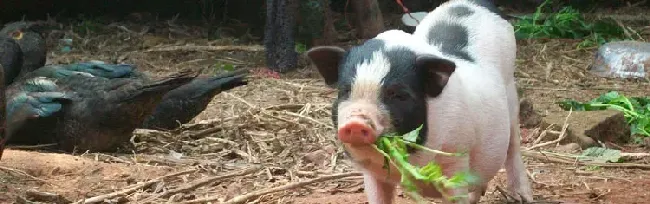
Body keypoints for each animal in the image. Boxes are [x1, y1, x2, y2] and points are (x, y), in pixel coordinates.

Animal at [306, 0, 532, 204]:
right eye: (345, 90)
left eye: (399, 95)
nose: (355, 122)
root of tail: (477, 3)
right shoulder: (373, 174)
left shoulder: (456, 158)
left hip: (511, 95)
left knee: (513, 145)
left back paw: (522, 196)